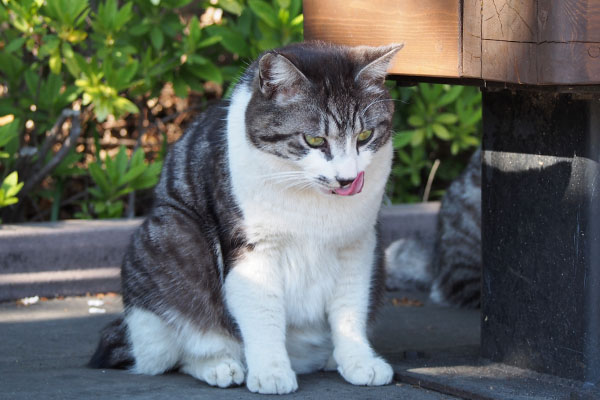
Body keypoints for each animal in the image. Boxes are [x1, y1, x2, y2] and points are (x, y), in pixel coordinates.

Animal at [89, 41, 406, 394]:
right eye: (314, 140)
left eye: (364, 136)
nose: (347, 179)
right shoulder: (251, 248)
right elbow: (262, 310)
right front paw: (270, 372)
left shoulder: (359, 246)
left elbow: (350, 308)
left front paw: (359, 362)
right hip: (170, 238)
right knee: (175, 352)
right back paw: (220, 366)